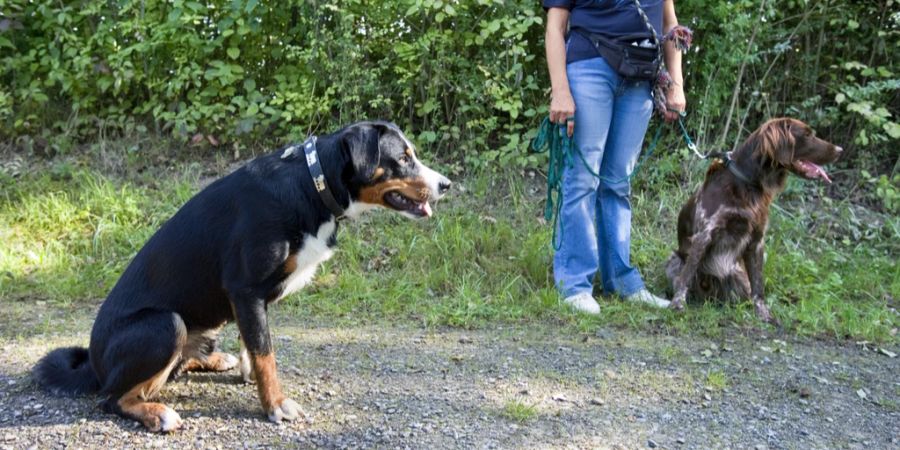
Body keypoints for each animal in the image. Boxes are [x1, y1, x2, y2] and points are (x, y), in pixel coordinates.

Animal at [33, 120, 450, 432]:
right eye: (403, 159)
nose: (446, 185)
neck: (312, 184)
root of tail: (94, 364)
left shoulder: (248, 300)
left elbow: (254, 345)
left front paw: (252, 377)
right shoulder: (246, 290)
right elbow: (266, 353)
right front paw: (276, 404)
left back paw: (214, 360)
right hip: (167, 324)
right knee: (113, 397)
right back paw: (157, 414)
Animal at [664, 118, 840, 322]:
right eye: (806, 134)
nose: (840, 150)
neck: (747, 184)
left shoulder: (757, 240)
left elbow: (758, 285)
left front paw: (763, 313)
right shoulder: (704, 235)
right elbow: (687, 275)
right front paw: (677, 303)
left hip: (738, 273)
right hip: (674, 260)